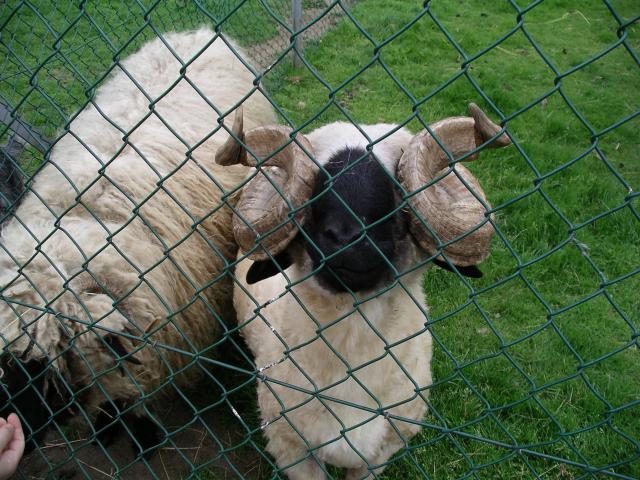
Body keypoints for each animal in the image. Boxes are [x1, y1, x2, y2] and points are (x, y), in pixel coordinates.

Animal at [0, 27, 276, 455]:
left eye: (39, 369)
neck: (88, 219)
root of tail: (194, 32)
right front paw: (107, 423)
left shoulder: (157, 331)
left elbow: (138, 390)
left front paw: (140, 431)